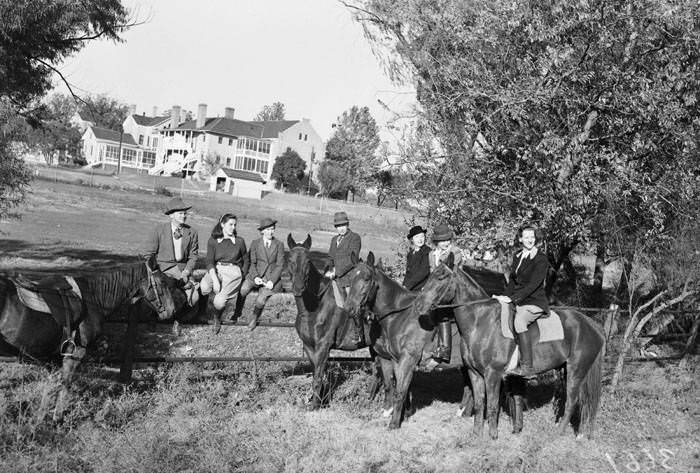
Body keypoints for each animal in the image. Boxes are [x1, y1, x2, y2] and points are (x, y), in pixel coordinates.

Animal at [0, 262, 179, 420]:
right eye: (162, 282)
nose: (172, 311)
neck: (93, 299)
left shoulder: (52, 359)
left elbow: (50, 388)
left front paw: (39, 419)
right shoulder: (75, 353)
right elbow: (65, 384)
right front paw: (57, 418)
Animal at [286, 234, 394, 412]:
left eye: (308, 261)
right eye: (289, 259)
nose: (298, 288)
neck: (315, 306)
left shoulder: (323, 347)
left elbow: (317, 377)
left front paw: (314, 406)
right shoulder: (309, 347)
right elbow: (317, 374)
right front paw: (321, 399)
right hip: (374, 347)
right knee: (378, 371)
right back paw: (368, 400)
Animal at [344, 251, 448, 428]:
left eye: (367, 278)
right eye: (350, 277)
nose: (349, 309)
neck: (398, 316)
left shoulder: (407, 361)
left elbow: (401, 390)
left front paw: (394, 422)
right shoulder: (387, 358)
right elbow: (389, 385)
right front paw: (390, 411)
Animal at [412, 260, 604, 436]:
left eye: (441, 277)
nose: (418, 305)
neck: (481, 322)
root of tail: (591, 324)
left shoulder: (493, 374)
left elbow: (492, 405)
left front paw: (492, 436)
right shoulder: (474, 373)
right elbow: (480, 403)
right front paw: (477, 435)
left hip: (576, 370)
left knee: (572, 400)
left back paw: (558, 432)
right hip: (564, 369)